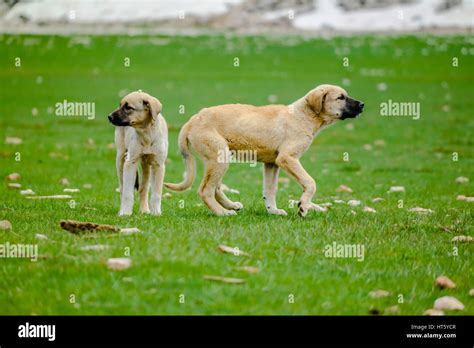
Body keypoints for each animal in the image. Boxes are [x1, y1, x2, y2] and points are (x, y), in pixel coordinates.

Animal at [165, 83, 364, 218]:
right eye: (340, 97)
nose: (362, 104)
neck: (304, 116)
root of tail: (192, 120)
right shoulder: (287, 158)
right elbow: (310, 182)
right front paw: (303, 206)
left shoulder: (271, 163)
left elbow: (270, 190)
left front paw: (273, 210)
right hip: (219, 157)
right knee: (205, 190)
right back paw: (222, 212)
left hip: (219, 158)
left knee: (215, 188)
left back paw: (231, 205)